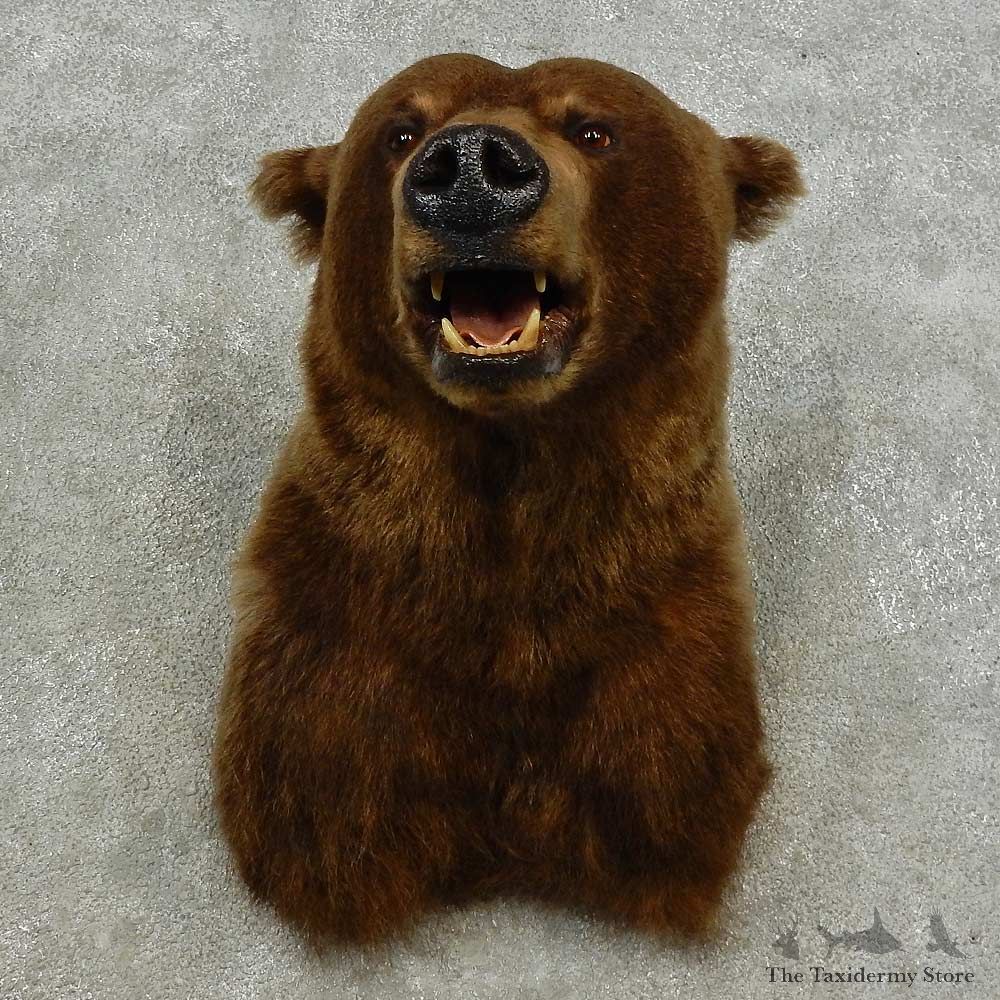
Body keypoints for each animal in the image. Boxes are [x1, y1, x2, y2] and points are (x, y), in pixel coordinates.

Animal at [213, 53, 804, 949]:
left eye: (594, 129)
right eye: (401, 131)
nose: (469, 171)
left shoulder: (657, 607)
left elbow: (661, 778)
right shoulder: (342, 602)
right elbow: (325, 777)